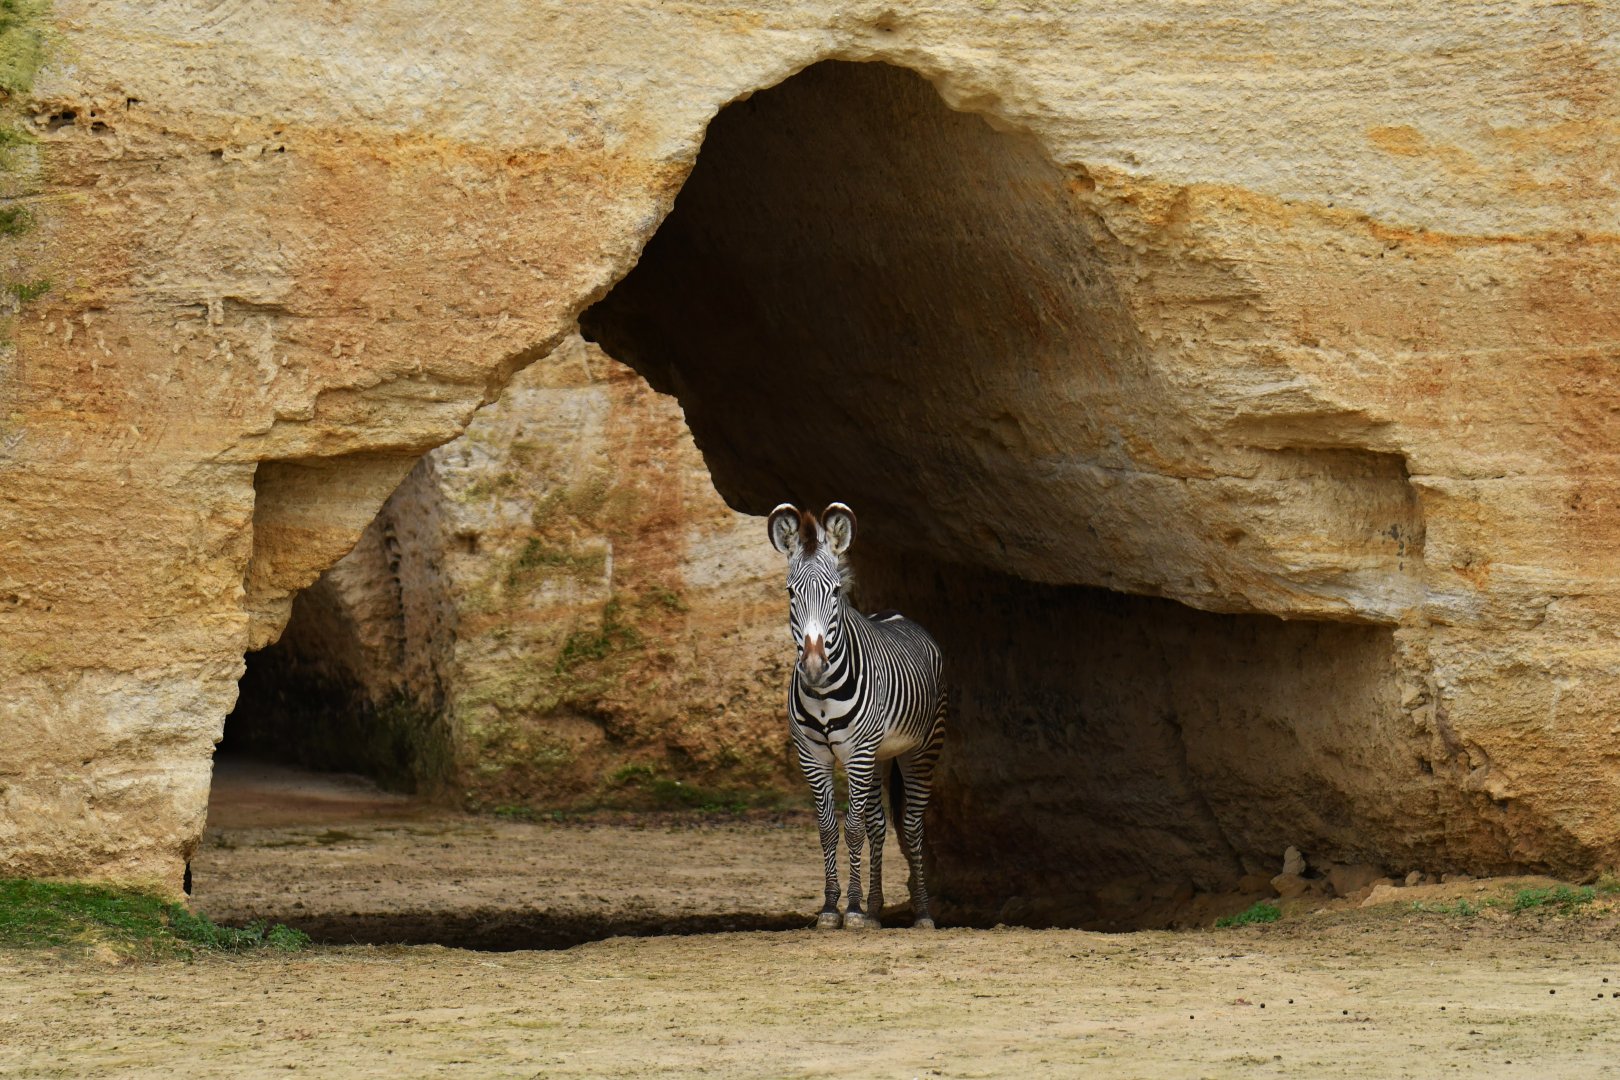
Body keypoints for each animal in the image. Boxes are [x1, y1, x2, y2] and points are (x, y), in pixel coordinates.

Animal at [768, 502, 947, 930]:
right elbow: (829, 829)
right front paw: (833, 907)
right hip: (880, 755)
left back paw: (921, 912)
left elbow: (851, 829)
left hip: (920, 750)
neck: (822, 692)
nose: (814, 666)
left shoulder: (858, 752)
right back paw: (876, 909)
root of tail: (897, 613)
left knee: (911, 826)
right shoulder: (813, 755)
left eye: (835, 592)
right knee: (879, 825)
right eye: (790, 592)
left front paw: (850, 908)